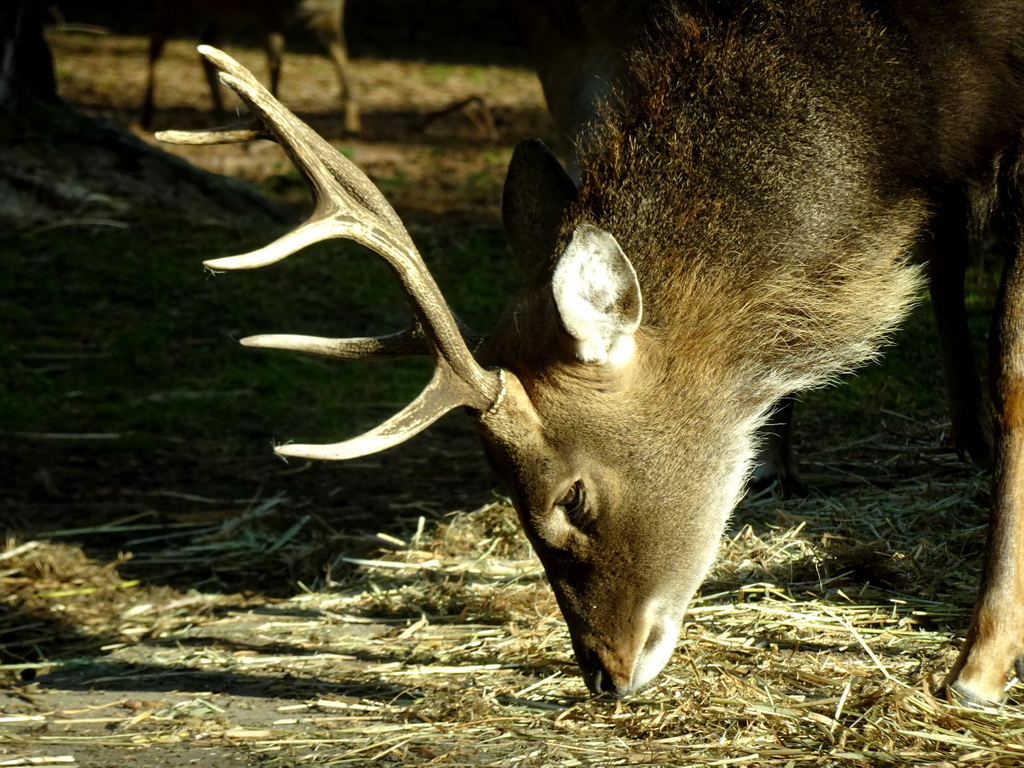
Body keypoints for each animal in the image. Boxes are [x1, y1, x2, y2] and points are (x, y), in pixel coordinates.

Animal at [140, 0, 356, 133]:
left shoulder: (333, 13)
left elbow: (342, 63)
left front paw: (351, 127)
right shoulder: (266, 14)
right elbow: (275, 64)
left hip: (230, 16)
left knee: (208, 43)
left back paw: (221, 118)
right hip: (174, 6)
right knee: (154, 45)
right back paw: (146, 118)